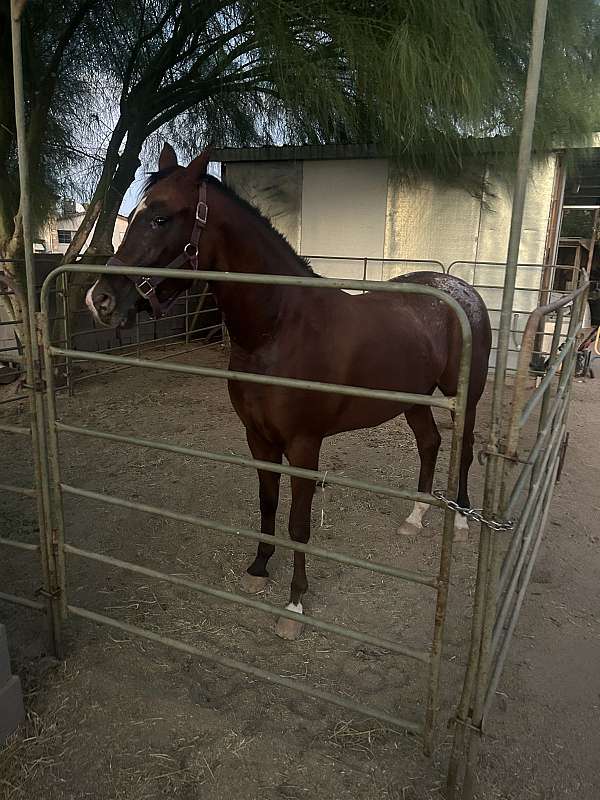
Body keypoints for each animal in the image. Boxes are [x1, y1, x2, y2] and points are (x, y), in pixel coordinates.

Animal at [89, 147, 492, 640]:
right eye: (135, 216)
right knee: (430, 442)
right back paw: (414, 518)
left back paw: (462, 520)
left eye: (161, 217)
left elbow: (299, 523)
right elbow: (267, 503)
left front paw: (295, 603)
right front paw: (259, 568)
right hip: (411, 398)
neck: (280, 327)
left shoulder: (303, 445)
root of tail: (463, 290)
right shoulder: (258, 438)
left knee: (463, 449)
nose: (101, 299)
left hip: (464, 398)